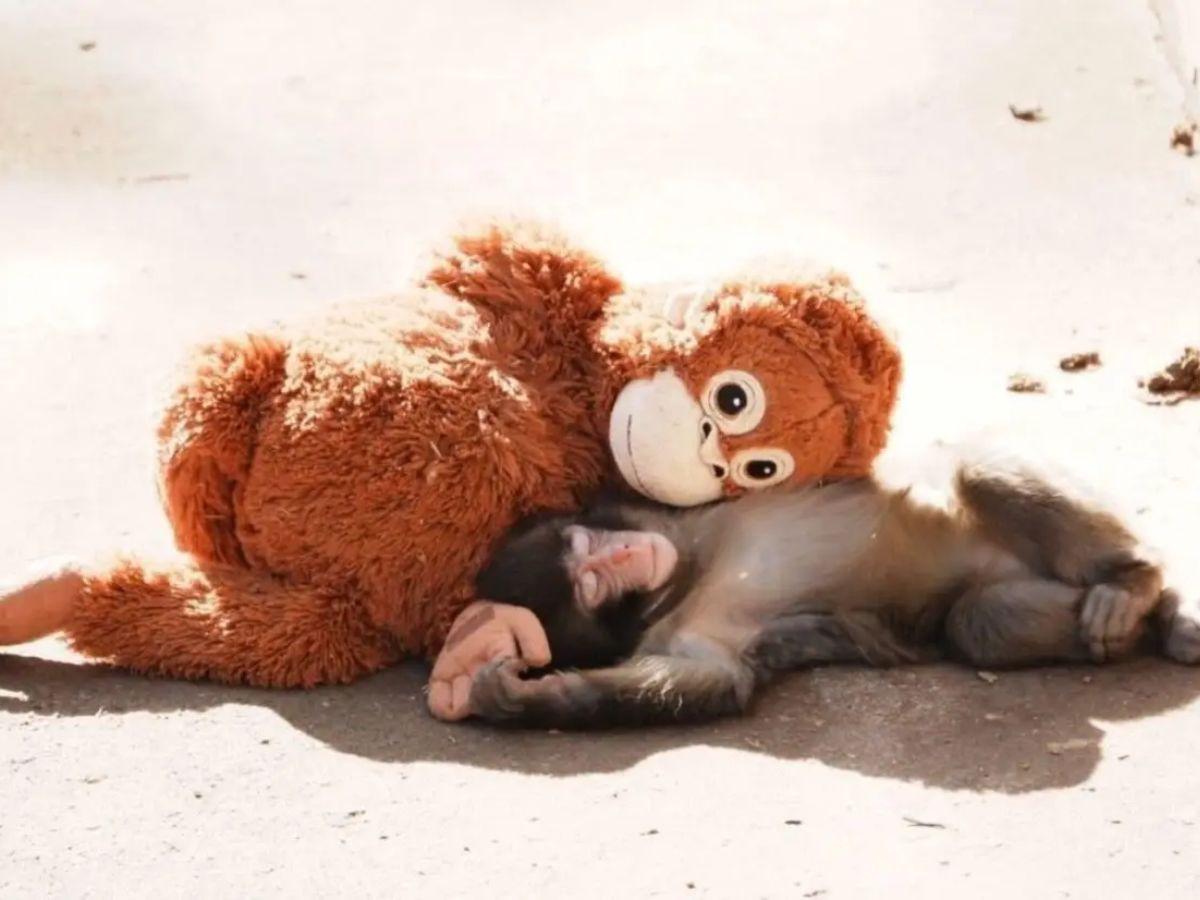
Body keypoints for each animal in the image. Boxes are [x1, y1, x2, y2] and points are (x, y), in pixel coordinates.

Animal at [466, 452, 1198, 729]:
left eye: (592, 548)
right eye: (593, 580)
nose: (625, 552)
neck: (689, 570)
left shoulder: (653, 510)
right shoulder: (684, 634)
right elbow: (715, 681)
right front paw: (524, 698)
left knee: (970, 469)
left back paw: (1138, 583)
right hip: (1006, 586)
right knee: (978, 621)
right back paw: (1147, 616)